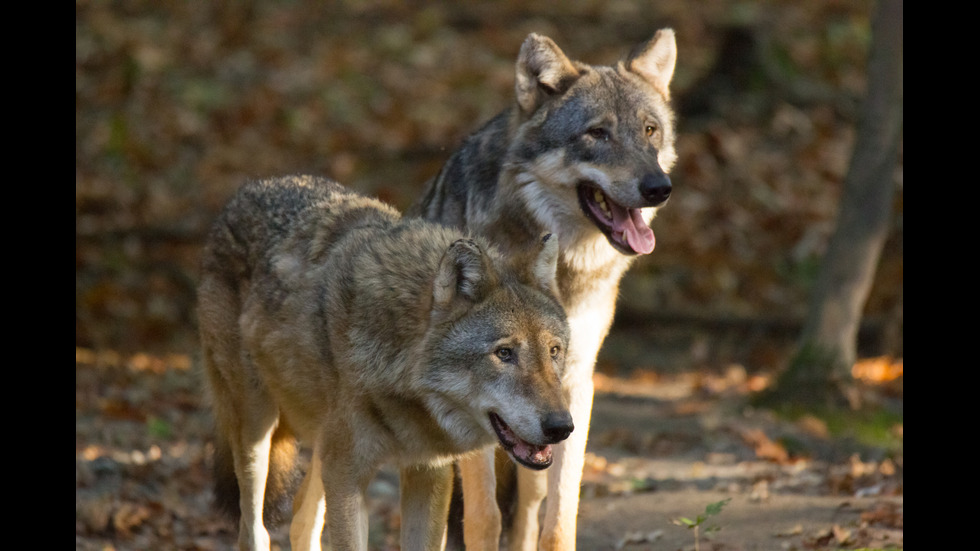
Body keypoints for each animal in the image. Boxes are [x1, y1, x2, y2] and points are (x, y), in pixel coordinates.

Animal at [198, 177, 576, 551]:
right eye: (504, 353)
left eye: (554, 351)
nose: (561, 427)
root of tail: (248, 189)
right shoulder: (347, 477)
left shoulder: (429, 474)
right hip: (258, 433)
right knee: (253, 528)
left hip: (321, 449)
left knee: (302, 517)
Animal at [410, 30, 676, 551]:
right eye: (597, 134)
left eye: (650, 131)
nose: (659, 187)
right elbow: (483, 517)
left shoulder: (575, 383)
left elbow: (559, 518)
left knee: (530, 504)